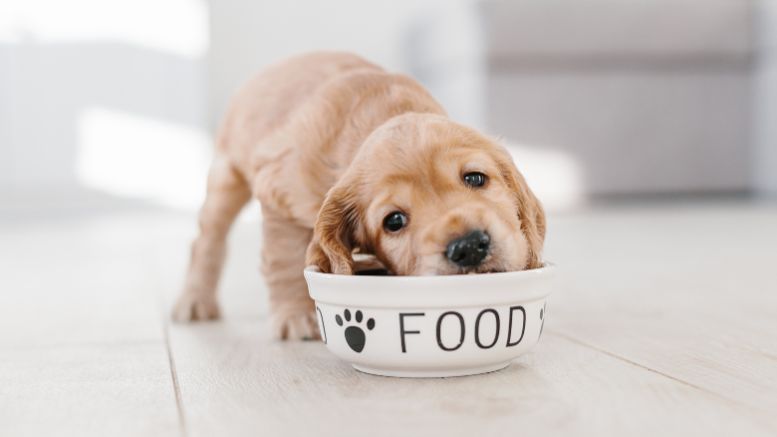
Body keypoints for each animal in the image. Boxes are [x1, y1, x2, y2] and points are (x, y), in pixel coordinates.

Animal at [172, 50, 544, 338]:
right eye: (394, 221)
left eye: (476, 178)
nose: (468, 247)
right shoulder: (279, 195)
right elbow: (285, 258)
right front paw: (294, 316)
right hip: (226, 177)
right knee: (206, 241)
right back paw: (195, 301)